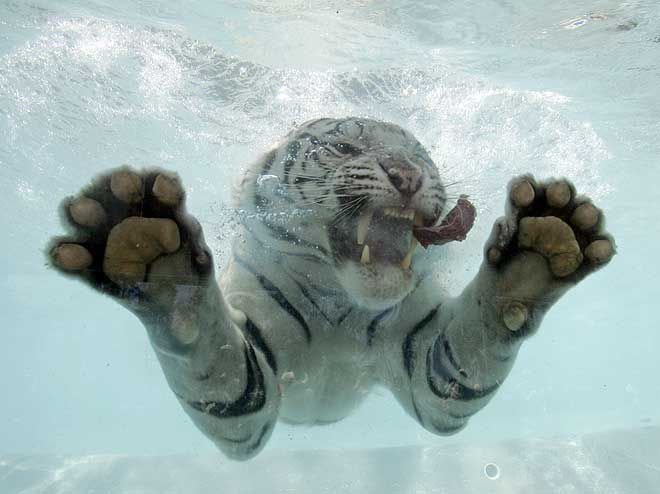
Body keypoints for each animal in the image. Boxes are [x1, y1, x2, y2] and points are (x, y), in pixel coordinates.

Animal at [48, 117, 615, 460]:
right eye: (345, 147)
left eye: (422, 158)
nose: (407, 174)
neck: (343, 303)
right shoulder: (248, 392)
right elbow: (210, 354)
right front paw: (150, 254)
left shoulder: (427, 362)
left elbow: (471, 354)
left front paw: (536, 251)